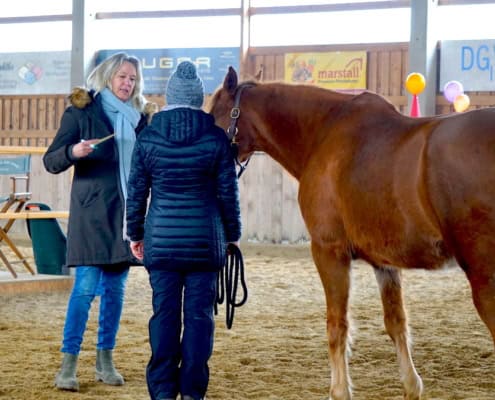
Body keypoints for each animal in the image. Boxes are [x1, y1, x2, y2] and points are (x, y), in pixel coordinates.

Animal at [207, 67, 495, 398]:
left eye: (213, 114)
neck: (324, 131)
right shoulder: (385, 262)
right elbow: (396, 322)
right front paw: (411, 385)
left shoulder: (329, 252)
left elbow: (337, 325)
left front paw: (339, 390)